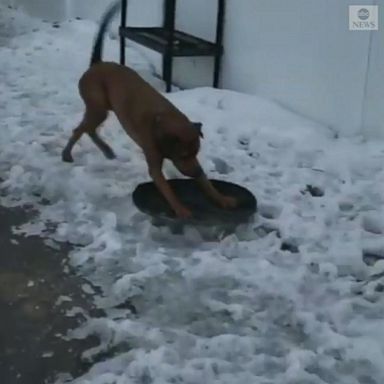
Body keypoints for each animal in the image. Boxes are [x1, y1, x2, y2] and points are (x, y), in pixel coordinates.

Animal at [61, 2, 236, 219]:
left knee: (89, 129)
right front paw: (180, 209)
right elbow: (167, 189)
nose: (196, 172)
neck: (162, 123)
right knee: (80, 129)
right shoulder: (155, 164)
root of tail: (96, 64)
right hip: (97, 107)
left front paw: (222, 198)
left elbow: (207, 185)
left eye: (196, 152)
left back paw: (106, 150)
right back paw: (67, 154)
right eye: (183, 155)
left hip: (102, 109)